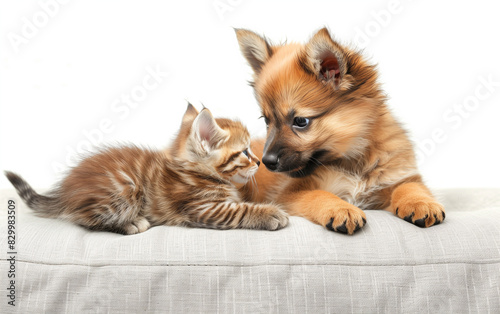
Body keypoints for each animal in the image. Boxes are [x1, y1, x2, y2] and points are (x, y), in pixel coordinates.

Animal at [5, 104, 290, 234]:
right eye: (244, 152)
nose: (259, 162)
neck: (195, 172)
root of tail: (65, 193)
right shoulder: (203, 208)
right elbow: (240, 210)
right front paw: (270, 214)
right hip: (125, 188)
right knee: (83, 219)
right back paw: (130, 223)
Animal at [234, 28, 446, 234]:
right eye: (266, 121)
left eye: (300, 121)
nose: (266, 162)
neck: (353, 163)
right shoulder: (288, 194)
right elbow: (319, 194)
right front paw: (341, 209)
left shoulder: (398, 177)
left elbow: (409, 187)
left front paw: (421, 203)